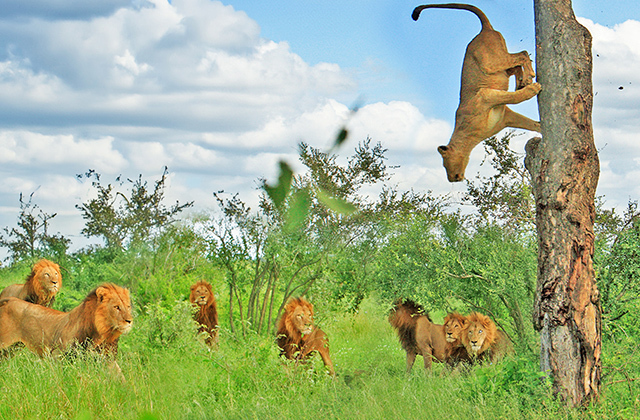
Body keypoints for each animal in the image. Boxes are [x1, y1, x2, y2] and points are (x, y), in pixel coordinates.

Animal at [0, 284, 133, 372]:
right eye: (116, 307)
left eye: (128, 306)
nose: (129, 321)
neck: (102, 333)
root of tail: (9, 300)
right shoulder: (57, 355)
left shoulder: (107, 358)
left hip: (12, 348)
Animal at [412, 3, 544, 181]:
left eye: (444, 165)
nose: (452, 179)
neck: (471, 138)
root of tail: (485, 30)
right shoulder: (506, 117)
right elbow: (528, 122)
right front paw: (541, 127)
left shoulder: (484, 95)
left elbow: (515, 99)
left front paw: (533, 89)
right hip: (501, 65)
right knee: (517, 64)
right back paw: (522, 82)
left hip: (491, 62)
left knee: (522, 54)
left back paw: (529, 77)